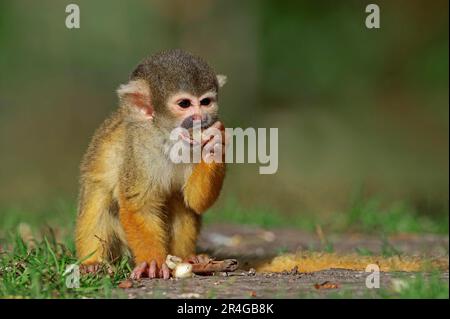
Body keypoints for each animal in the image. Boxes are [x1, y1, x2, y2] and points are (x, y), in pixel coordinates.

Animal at [76, 50, 229, 280]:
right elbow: (139, 204)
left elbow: (194, 200)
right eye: (185, 104)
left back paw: (188, 258)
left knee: (179, 201)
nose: (201, 118)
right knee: (99, 197)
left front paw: (214, 147)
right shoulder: (139, 150)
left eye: (205, 102)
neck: (167, 137)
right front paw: (152, 262)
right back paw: (92, 263)